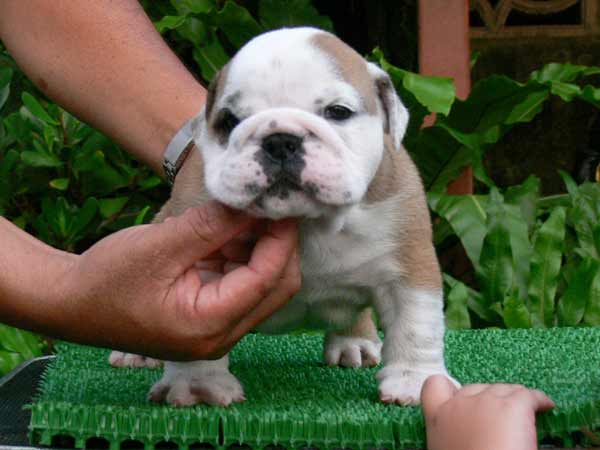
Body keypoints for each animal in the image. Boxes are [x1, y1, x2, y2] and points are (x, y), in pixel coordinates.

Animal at [109, 26, 454, 406]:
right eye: (229, 121)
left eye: (338, 111)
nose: (280, 140)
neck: (310, 222)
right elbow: (190, 330)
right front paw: (197, 384)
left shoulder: (409, 262)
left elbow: (416, 324)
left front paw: (415, 380)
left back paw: (355, 341)